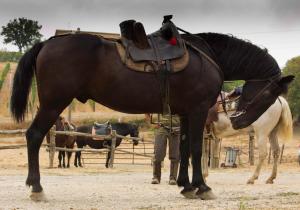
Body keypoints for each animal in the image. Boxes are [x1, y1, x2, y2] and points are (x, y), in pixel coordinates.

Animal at [9, 30, 292, 200]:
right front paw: (202, 187)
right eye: (270, 93)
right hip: (53, 104)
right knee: (34, 136)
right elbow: (196, 149)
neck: (207, 57)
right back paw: (37, 188)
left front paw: (186, 186)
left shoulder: (185, 114)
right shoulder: (198, 110)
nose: (240, 120)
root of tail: (47, 43)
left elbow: (185, 150)